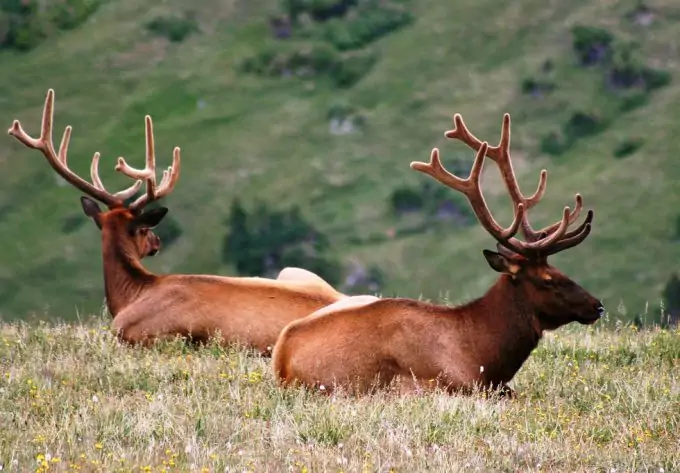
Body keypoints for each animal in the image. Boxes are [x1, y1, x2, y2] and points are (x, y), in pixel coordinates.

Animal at [272, 110, 604, 394]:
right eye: (548, 279)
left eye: (561, 270)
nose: (597, 305)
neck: (483, 355)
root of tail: (281, 360)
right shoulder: (443, 383)